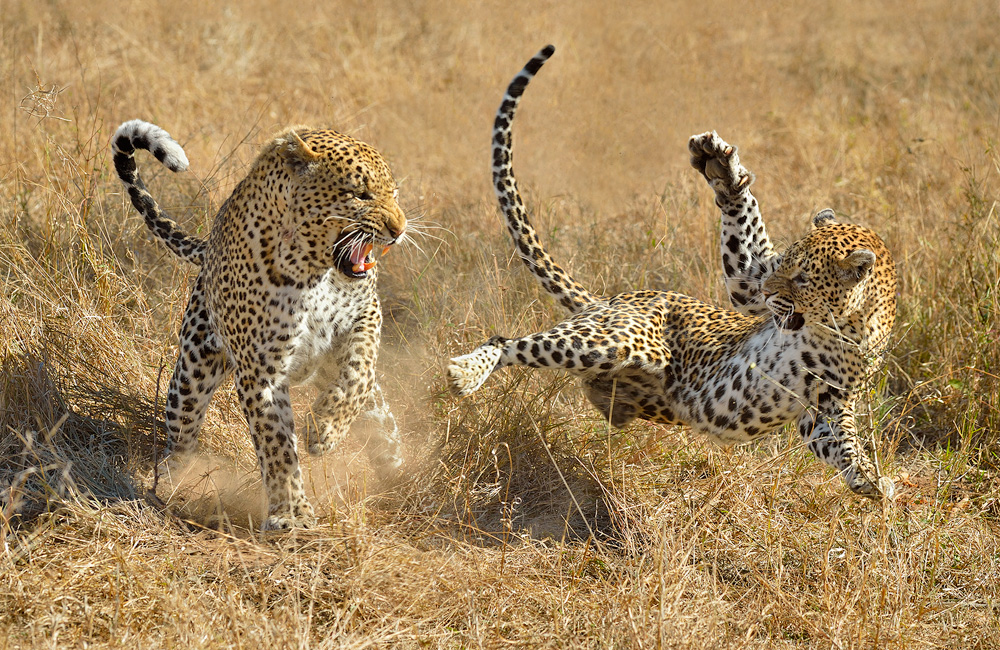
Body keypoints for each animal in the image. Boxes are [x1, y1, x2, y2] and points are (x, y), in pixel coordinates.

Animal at [112, 119, 408, 530]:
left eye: (393, 194)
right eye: (360, 195)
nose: (400, 229)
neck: (312, 273)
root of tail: (207, 247)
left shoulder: (367, 312)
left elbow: (358, 374)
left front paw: (325, 429)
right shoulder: (260, 371)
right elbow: (277, 446)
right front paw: (291, 515)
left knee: (380, 418)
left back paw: (402, 474)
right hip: (191, 375)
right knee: (181, 434)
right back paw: (174, 480)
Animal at [448, 45, 896, 499]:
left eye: (803, 279)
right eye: (784, 265)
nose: (772, 294)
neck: (843, 327)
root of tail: (612, 299)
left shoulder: (825, 403)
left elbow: (841, 442)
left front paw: (871, 481)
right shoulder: (748, 282)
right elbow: (745, 226)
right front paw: (722, 166)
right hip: (618, 339)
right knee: (506, 341)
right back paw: (465, 374)